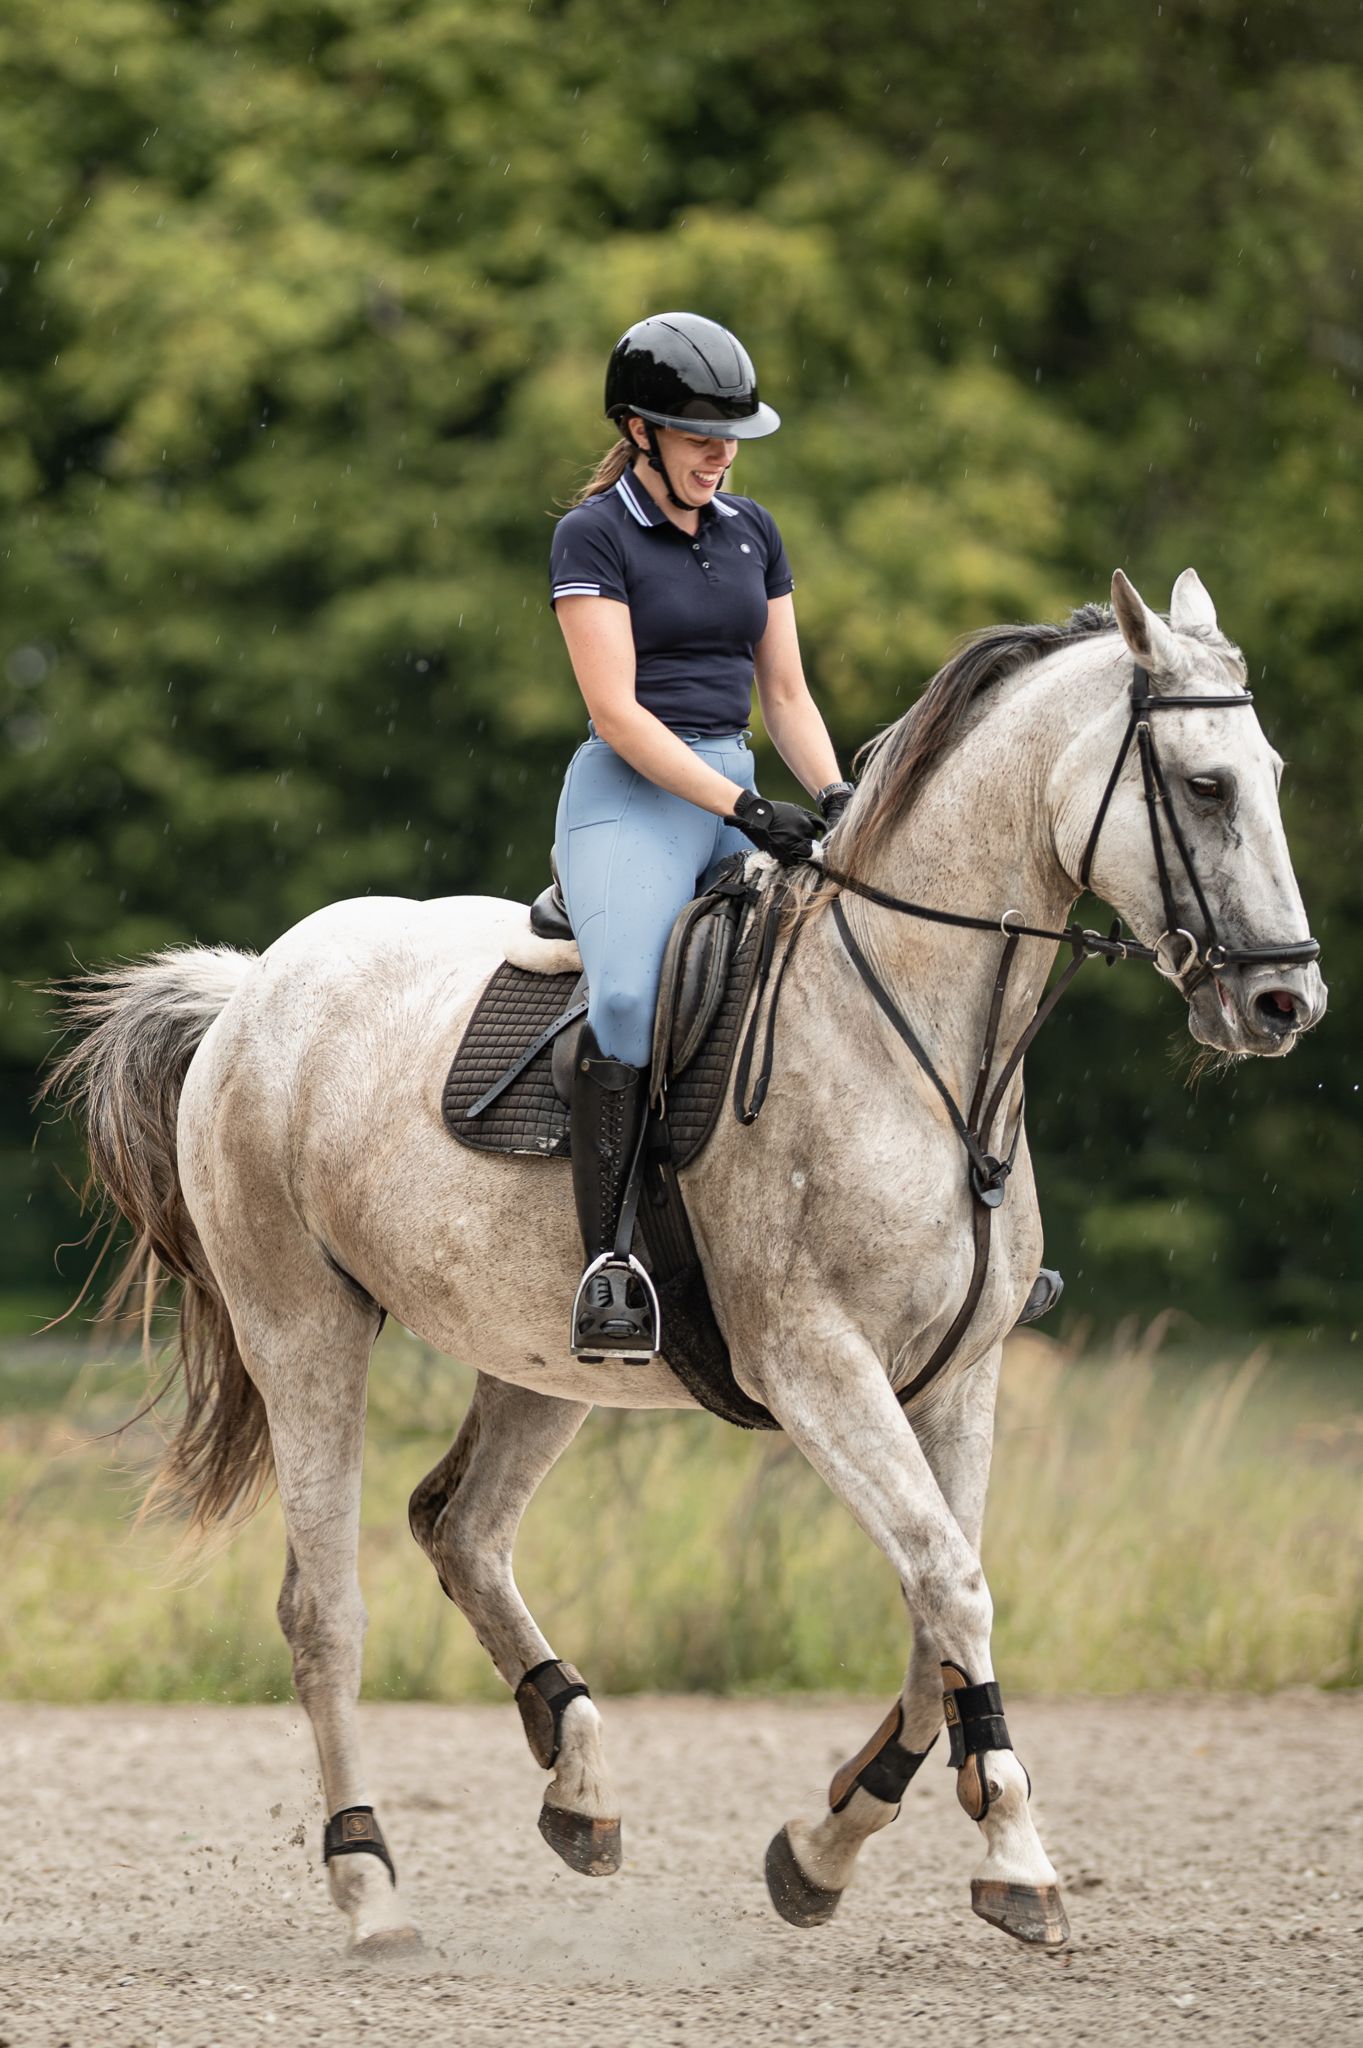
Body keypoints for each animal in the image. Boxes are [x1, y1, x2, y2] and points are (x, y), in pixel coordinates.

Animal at [47, 567, 1324, 1957]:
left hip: (542, 1359)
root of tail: (253, 987)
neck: (914, 1039)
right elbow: (950, 1581)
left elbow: (937, 1604)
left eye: (1269, 771)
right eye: (1203, 785)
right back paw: (371, 1879)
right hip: (304, 1329)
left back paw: (578, 1774)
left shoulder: (958, 1375)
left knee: (461, 1526)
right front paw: (1015, 1857)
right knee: (323, 1608)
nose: (1282, 1003)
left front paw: (825, 1842)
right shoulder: (819, 1365)